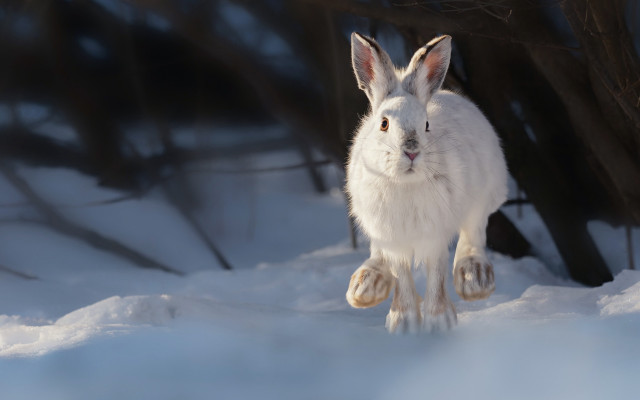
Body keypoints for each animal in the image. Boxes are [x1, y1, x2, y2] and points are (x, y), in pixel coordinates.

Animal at [345, 33, 508, 333]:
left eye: (427, 125)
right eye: (384, 124)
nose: (411, 152)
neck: (404, 183)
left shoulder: (435, 235)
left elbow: (436, 275)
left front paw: (438, 323)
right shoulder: (392, 238)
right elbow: (402, 276)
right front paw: (404, 324)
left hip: (485, 193)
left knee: (474, 232)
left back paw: (474, 278)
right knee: (378, 254)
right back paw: (366, 286)